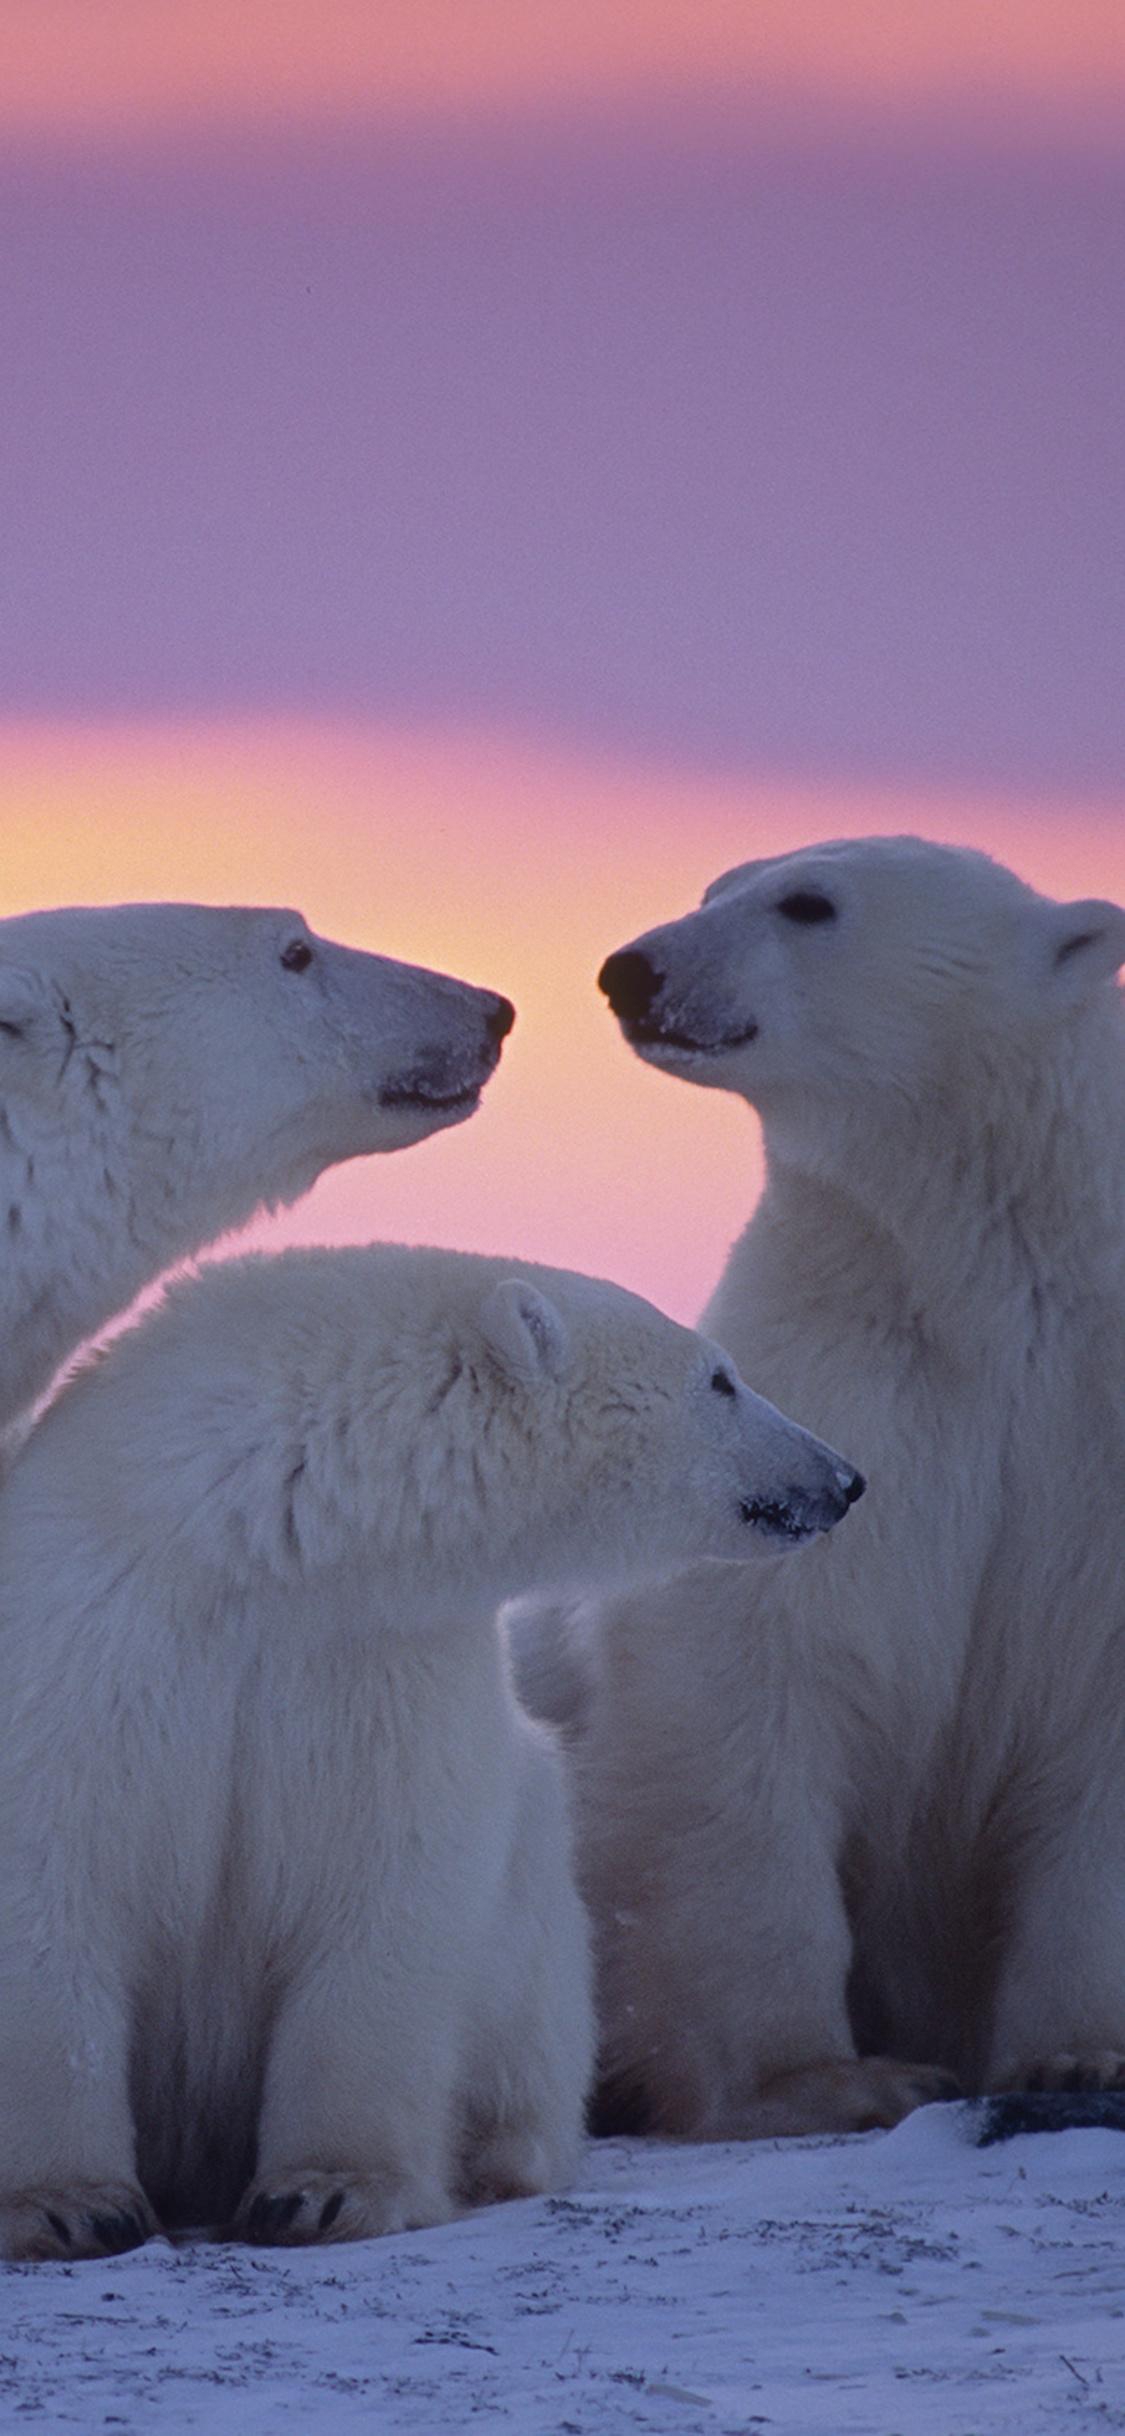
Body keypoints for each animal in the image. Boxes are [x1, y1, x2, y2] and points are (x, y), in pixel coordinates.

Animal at [0, 1240, 863, 2260]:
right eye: (721, 1378)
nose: (843, 1478)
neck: (258, 1539)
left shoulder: (383, 1661)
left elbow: (388, 1886)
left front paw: (326, 2193)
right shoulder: (97, 1632)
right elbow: (53, 1883)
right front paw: (66, 2204)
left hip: (537, 1934)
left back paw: (494, 2154)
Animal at [521, 835, 1125, 2142]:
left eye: (809, 903)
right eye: (711, 888)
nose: (631, 970)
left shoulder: (1087, 1436)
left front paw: (1079, 2053)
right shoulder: (838, 1388)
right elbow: (750, 1671)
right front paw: (829, 2079)